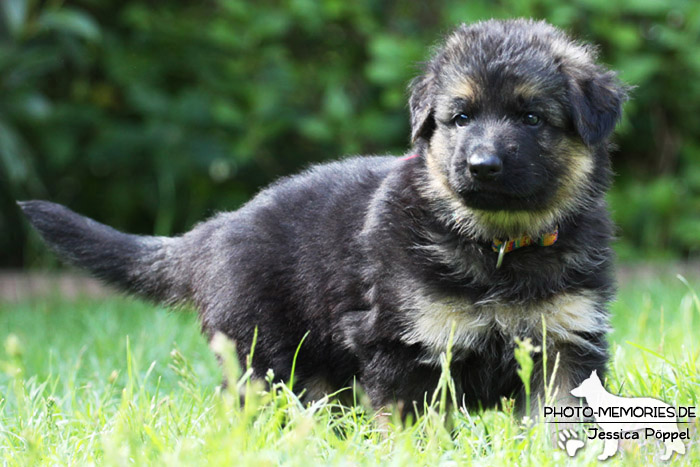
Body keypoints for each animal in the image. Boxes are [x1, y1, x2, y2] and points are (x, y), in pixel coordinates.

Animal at [19, 19, 628, 416]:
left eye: (531, 117)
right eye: (460, 117)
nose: (482, 165)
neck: (498, 246)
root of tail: (215, 230)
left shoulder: (567, 342)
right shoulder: (401, 344)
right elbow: (412, 422)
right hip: (264, 355)